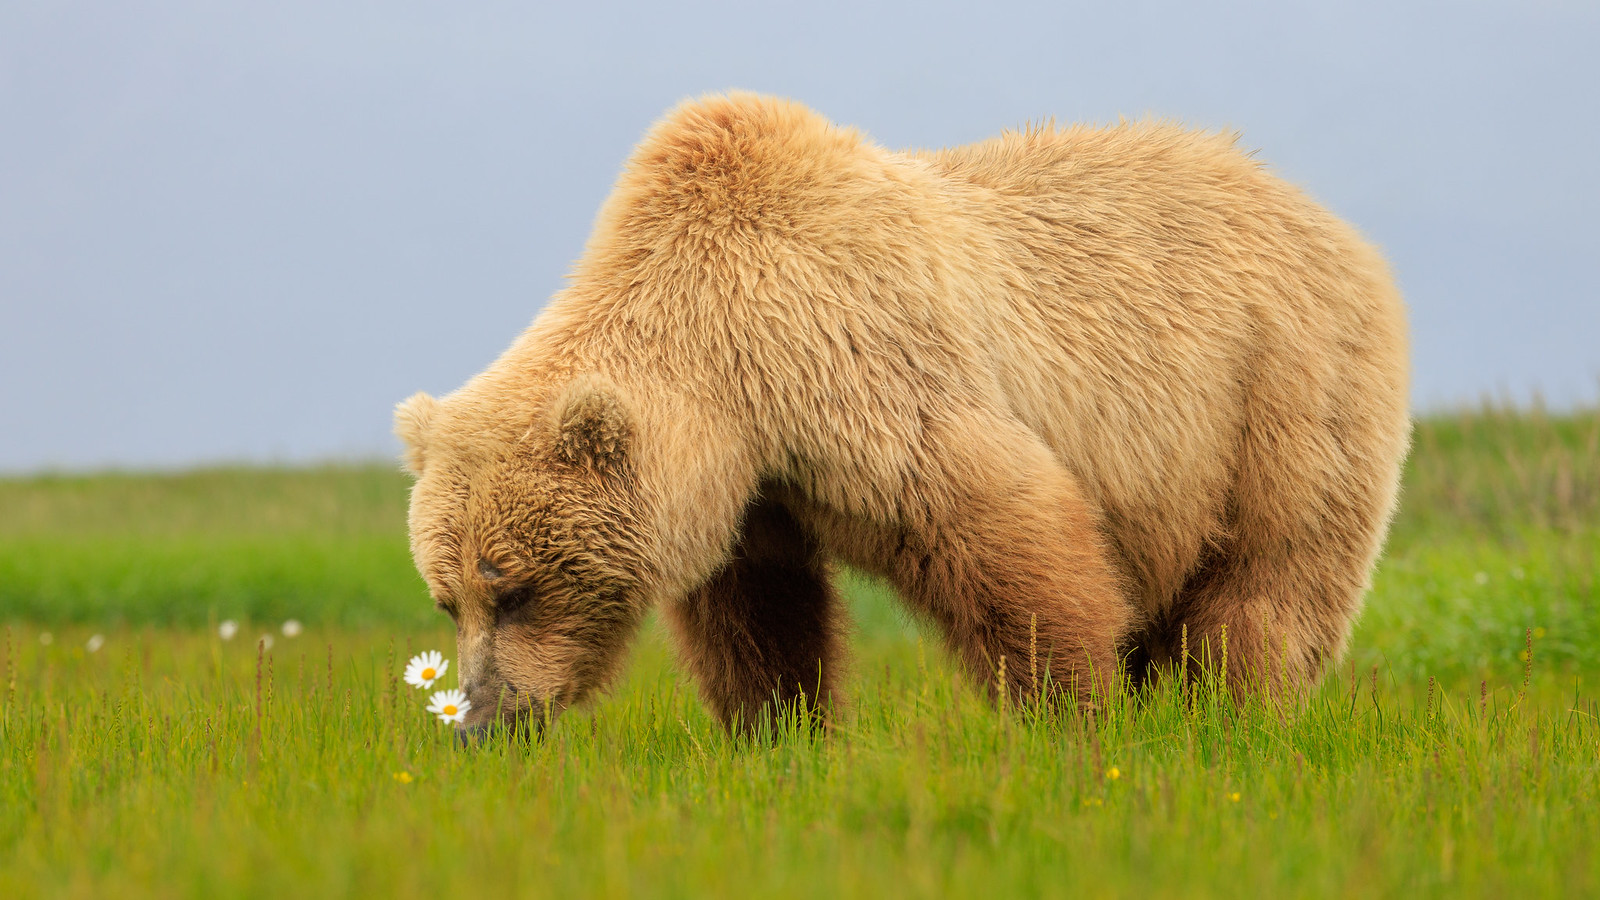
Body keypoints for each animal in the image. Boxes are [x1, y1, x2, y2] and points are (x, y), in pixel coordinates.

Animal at [394, 92, 1410, 737]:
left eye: (515, 586)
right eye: (448, 597)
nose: (478, 721)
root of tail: (1333, 222)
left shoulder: (860, 366)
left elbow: (1006, 526)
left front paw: (1071, 717)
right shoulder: (751, 491)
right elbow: (758, 613)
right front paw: (779, 732)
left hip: (1278, 385)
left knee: (1272, 575)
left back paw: (1233, 716)